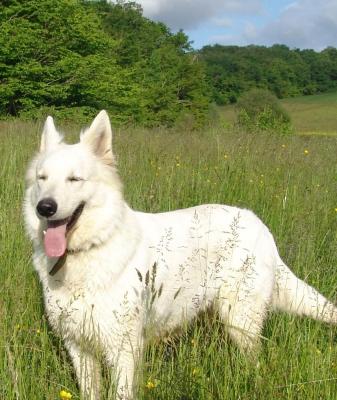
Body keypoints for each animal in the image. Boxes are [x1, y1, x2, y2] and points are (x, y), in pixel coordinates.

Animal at [25, 110, 336, 400]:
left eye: (74, 179)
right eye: (42, 179)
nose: (45, 207)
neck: (90, 249)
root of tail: (258, 223)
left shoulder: (123, 348)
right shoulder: (79, 347)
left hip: (240, 321)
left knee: (255, 363)